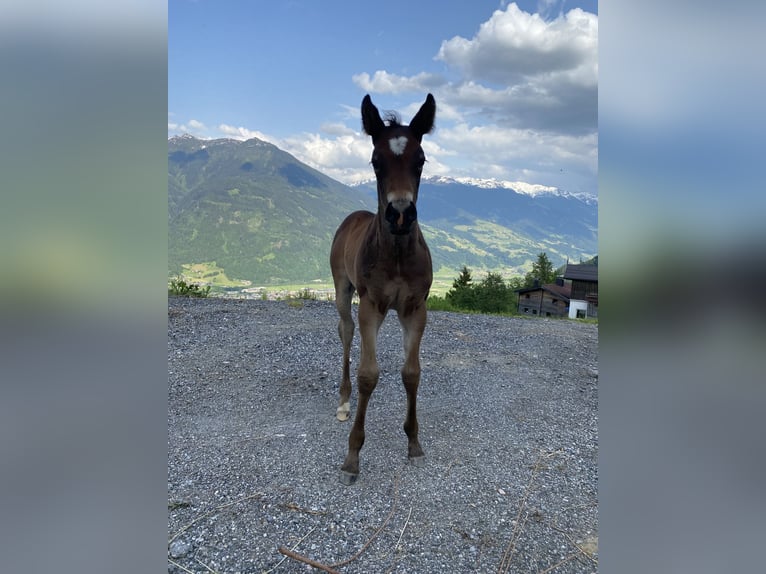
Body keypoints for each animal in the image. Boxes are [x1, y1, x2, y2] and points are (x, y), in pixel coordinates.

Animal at [330, 93, 438, 486]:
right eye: (376, 161)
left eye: (420, 160)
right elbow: (368, 375)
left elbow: (412, 373)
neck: (397, 256)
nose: (401, 214)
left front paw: (414, 443)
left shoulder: (415, 309)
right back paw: (343, 402)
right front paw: (352, 457)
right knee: (346, 333)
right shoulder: (371, 306)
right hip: (342, 289)